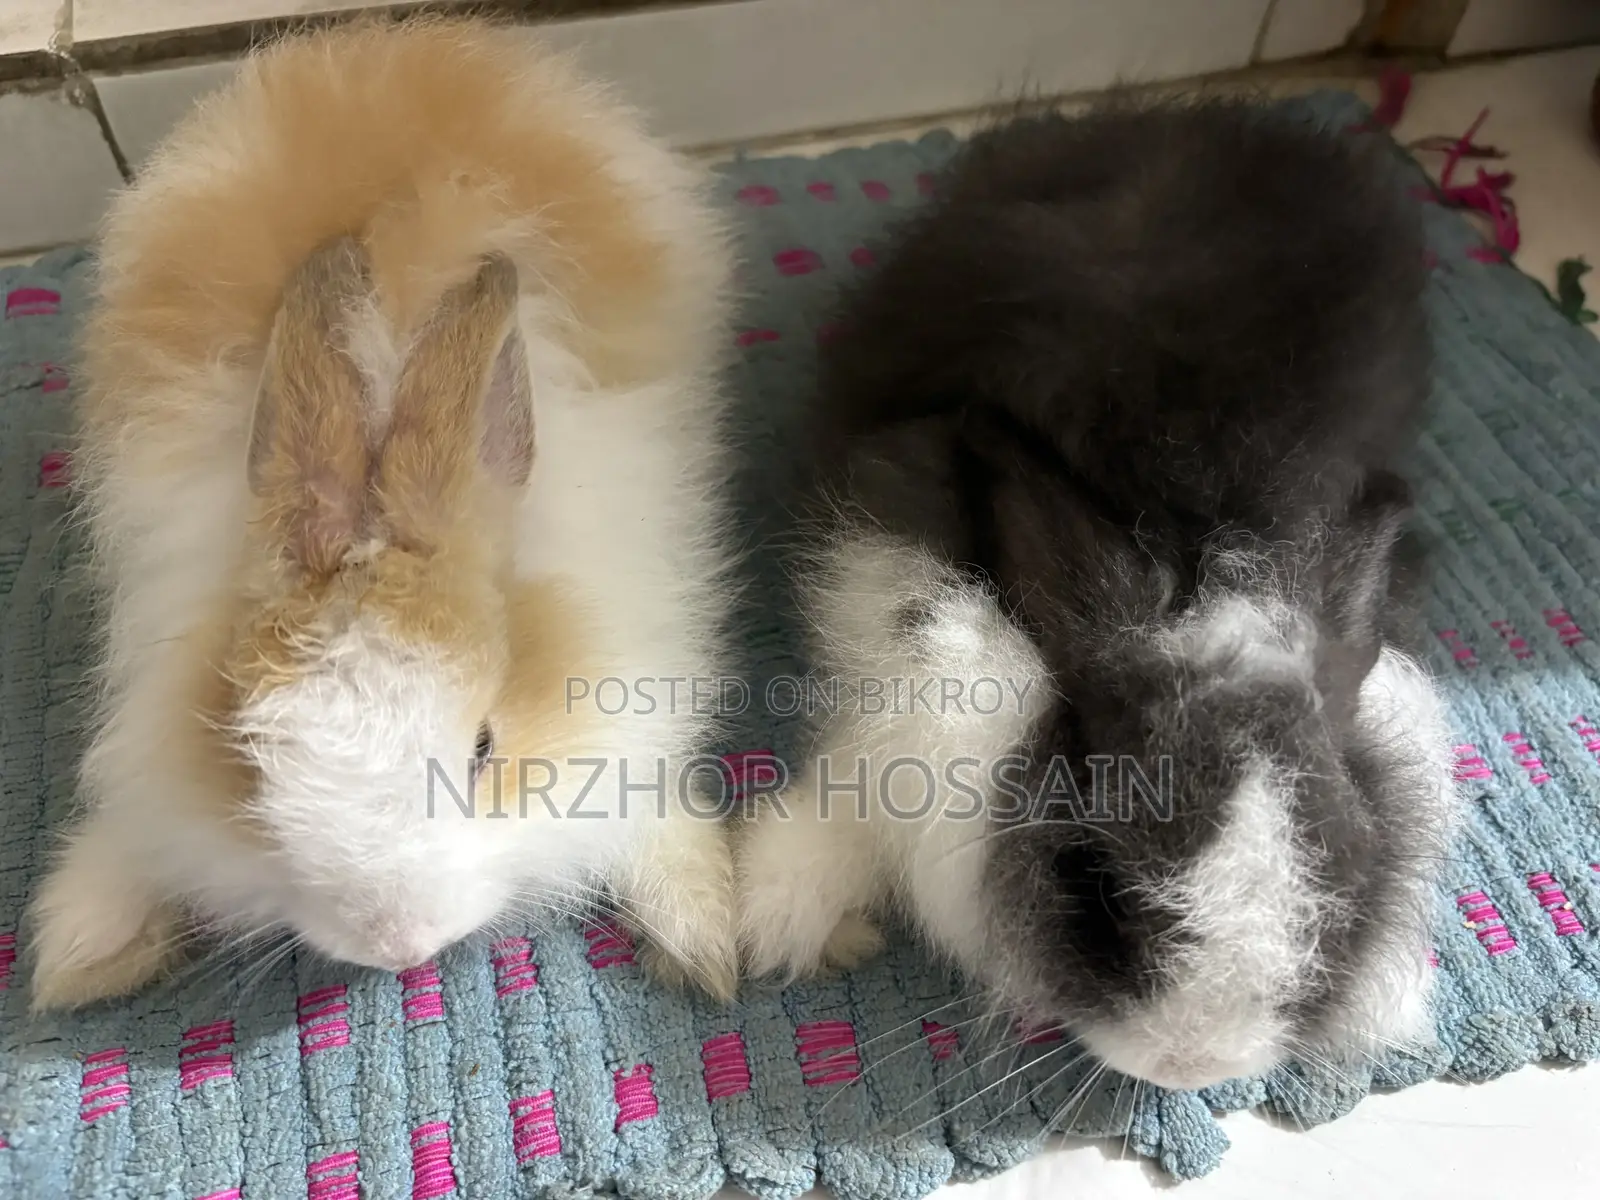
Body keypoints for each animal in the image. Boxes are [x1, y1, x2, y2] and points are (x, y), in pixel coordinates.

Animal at [30, 16, 742, 1010]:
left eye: (485, 747)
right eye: (254, 760)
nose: (397, 945)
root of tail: (394, 35)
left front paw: (699, 922)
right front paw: (87, 944)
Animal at [734, 97, 1459, 1091]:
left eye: (1341, 864)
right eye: (1095, 877)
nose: (1192, 1064)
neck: (1201, 553)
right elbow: (864, 752)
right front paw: (773, 910)